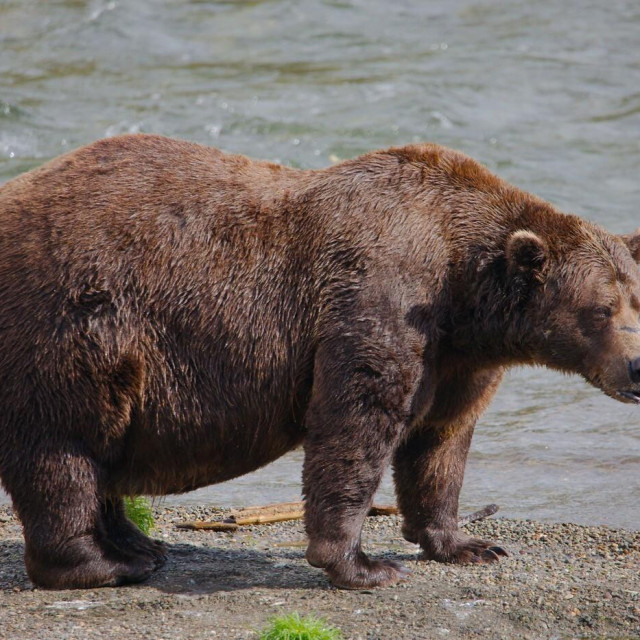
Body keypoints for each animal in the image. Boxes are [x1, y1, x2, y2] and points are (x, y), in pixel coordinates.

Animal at [0, 135, 636, 592]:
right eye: (601, 309)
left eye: (636, 296)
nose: (636, 368)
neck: (464, 290)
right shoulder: (380, 298)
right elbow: (356, 423)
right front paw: (364, 566)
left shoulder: (458, 359)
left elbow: (440, 442)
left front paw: (468, 544)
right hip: (73, 325)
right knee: (63, 448)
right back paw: (103, 564)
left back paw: (139, 545)